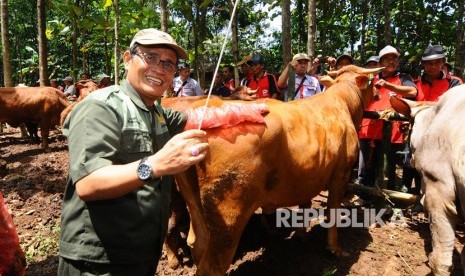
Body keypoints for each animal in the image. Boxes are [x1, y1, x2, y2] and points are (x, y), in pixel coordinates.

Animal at [163, 65, 380, 276]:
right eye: (374, 83)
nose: (378, 94)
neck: (343, 102)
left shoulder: (309, 174)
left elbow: (305, 204)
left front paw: (300, 234)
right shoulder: (341, 175)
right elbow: (332, 213)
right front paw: (335, 249)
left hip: (193, 203)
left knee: (194, 241)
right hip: (228, 218)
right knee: (211, 265)